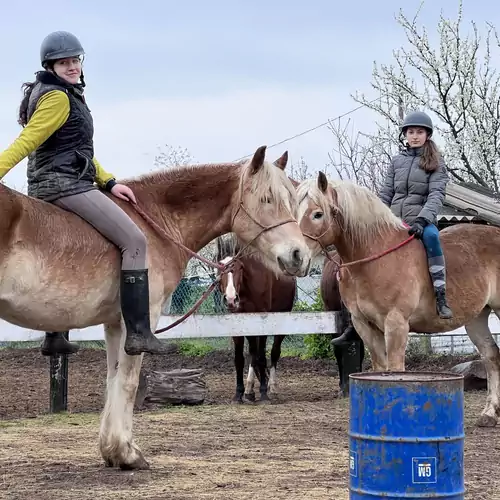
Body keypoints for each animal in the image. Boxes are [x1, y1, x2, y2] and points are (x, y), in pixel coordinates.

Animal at [216, 236, 296, 404]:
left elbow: (261, 357)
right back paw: (249, 390)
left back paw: (272, 387)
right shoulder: (238, 323)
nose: (231, 299)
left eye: (239, 267)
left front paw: (264, 392)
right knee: (253, 353)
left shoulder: (262, 322)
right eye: (220, 268)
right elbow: (240, 359)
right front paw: (238, 394)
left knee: (273, 352)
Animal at [298, 172, 500, 426]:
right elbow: (380, 368)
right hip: (477, 317)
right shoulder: (365, 326)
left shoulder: (396, 324)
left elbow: (396, 369)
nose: (296, 256)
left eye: (317, 214)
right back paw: (489, 413)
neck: (374, 259)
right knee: (491, 356)